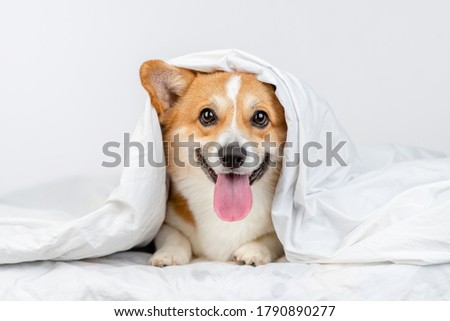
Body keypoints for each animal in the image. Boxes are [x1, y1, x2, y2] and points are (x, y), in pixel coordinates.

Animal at [139, 59, 286, 264]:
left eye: (260, 117)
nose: (232, 155)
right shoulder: (166, 222)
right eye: (207, 115)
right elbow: (172, 235)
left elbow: (274, 238)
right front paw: (169, 254)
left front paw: (254, 250)